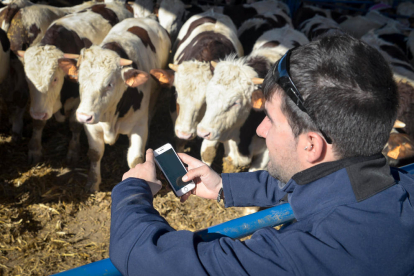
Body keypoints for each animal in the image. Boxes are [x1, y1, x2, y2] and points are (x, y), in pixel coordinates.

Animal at [18, 2, 132, 164]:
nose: (39, 113)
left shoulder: (79, 101)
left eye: (55, 79)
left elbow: (75, 124)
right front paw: (35, 149)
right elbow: (38, 123)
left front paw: (73, 150)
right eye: (28, 79)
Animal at [57, 16, 170, 192]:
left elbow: (135, 159)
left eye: (109, 84)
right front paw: (93, 182)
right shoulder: (92, 127)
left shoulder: (138, 126)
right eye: (79, 80)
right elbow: (95, 153)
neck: (110, 118)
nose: (83, 116)